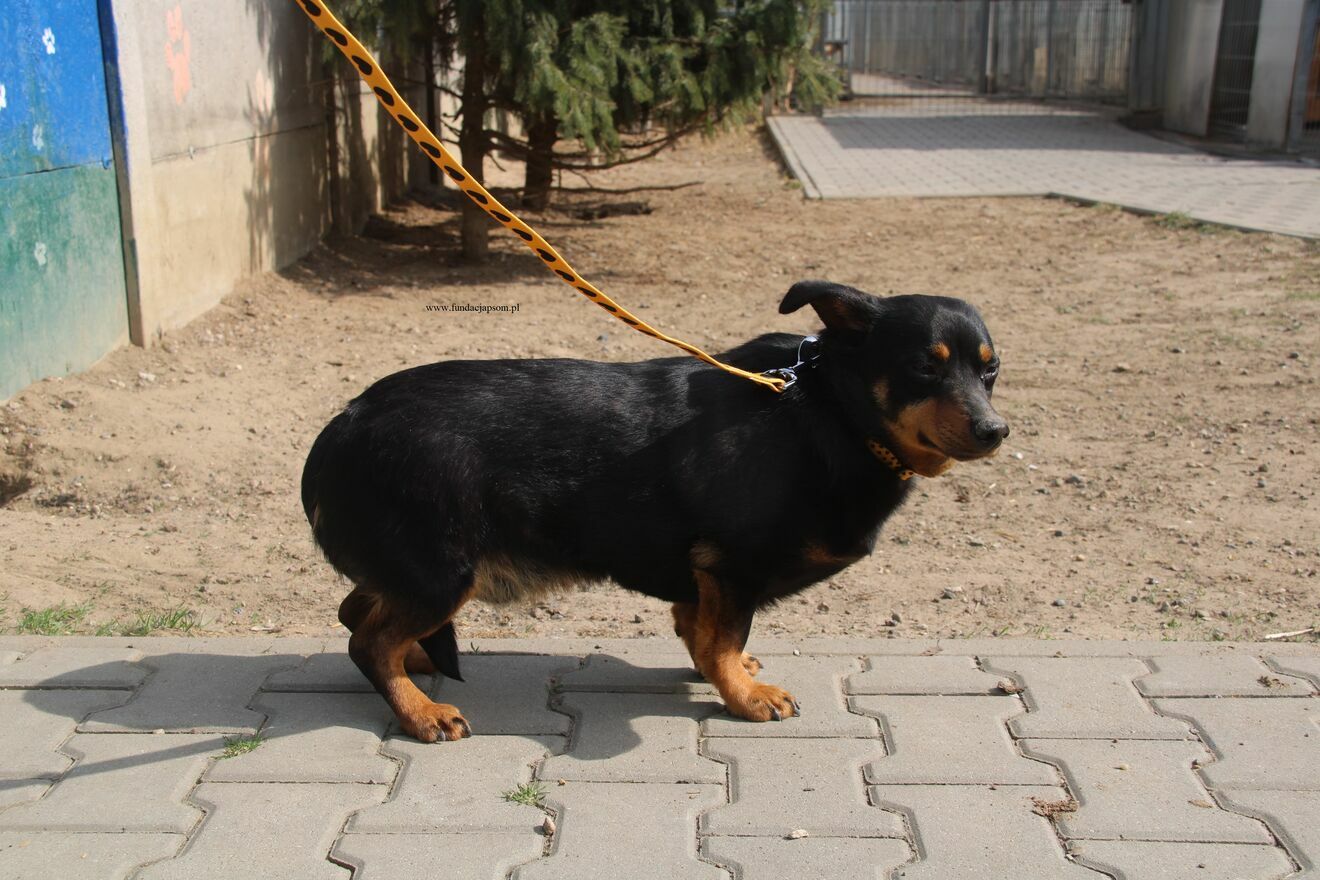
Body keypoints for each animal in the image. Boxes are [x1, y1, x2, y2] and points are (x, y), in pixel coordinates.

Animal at [300, 281, 1007, 742]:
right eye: (924, 368)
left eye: (991, 371)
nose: (995, 430)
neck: (827, 410)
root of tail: (343, 424)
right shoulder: (733, 566)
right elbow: (723, 638)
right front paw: (743, 696)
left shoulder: (705, 574)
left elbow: (703, 632)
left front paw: (726, 673)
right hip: (443, 571)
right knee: (368, 641)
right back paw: (419, 711)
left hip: (415, 571)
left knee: (358, 611)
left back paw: (417, 666)